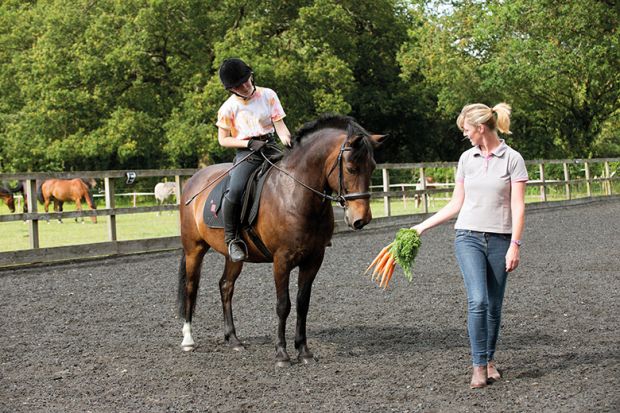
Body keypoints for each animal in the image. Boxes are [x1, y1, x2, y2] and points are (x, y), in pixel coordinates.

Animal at [177, 114, 386, 366]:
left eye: (372, 167)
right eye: (351, 168)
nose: (361, 219)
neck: (296, 193)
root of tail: (193, 181)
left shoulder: (314, 259)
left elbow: (302, 304)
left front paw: (304, 351)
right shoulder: (282, 260)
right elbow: (283, 305)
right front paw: (282, 354)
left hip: (233, 256)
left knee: (226, 286)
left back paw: (234, 339)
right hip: (194, 249)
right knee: (190, 286)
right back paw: (188, 340)